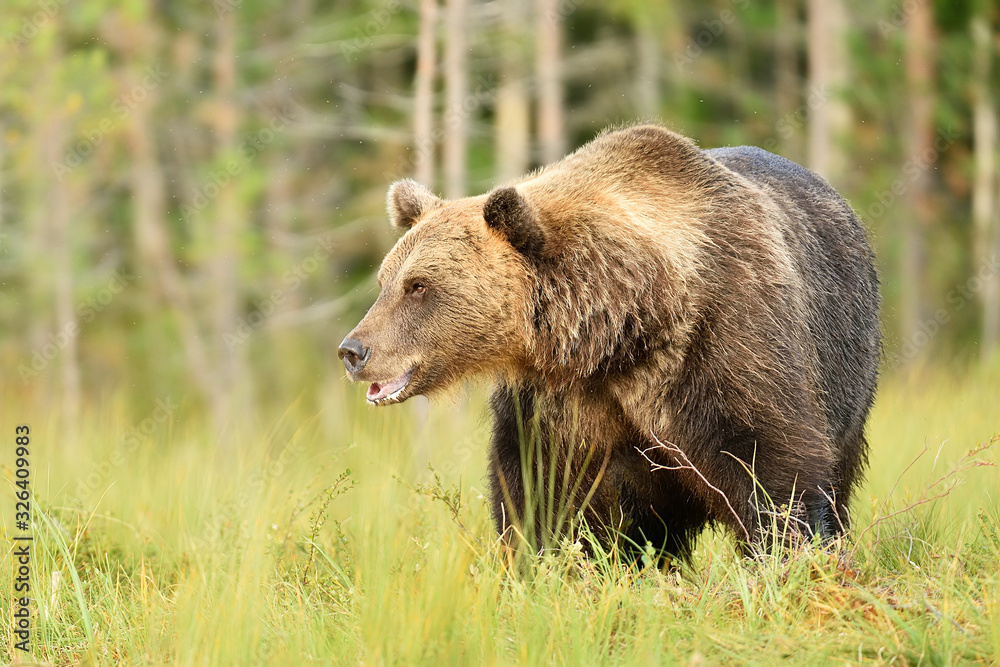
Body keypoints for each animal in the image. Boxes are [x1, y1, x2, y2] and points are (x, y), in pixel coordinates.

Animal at [340, 125, 880, 560]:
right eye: (385, 281)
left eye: (419, 286)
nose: (353, 350)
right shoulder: (560, 402)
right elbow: (537, 491)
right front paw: (537, 563)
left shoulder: (726, 337)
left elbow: (769, 463)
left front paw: (790, 556)